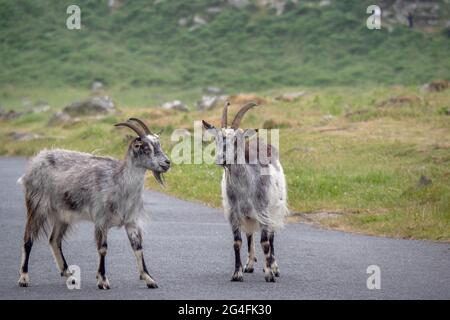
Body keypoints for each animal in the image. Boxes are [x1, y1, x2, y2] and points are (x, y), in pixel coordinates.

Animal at [17, 118, 171, 290]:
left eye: (158, 144)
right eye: (145, 147)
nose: (167, 163)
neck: (119, 182)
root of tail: (37, 160)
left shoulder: (131, 221)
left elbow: (137, 248)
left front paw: (149, 279)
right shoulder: (101, 219)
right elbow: (103, 248)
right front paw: (103, 280)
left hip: (62, 215)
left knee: (54, 240)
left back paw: (69, 275)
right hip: (37, 205)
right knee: (28, 238)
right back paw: (24, 278)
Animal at [203, 101, 288, 282]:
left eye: (236, 139)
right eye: (216, 138)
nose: (221, 159)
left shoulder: (263, 211)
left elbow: (265, 242)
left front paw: (269, 274)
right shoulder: (234, 212)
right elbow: (237, 242)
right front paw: (237, 273)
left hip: (275, 208)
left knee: (271, 237)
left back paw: (273, 266)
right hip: (248, 214)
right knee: (249, 235)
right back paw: (249, 265)